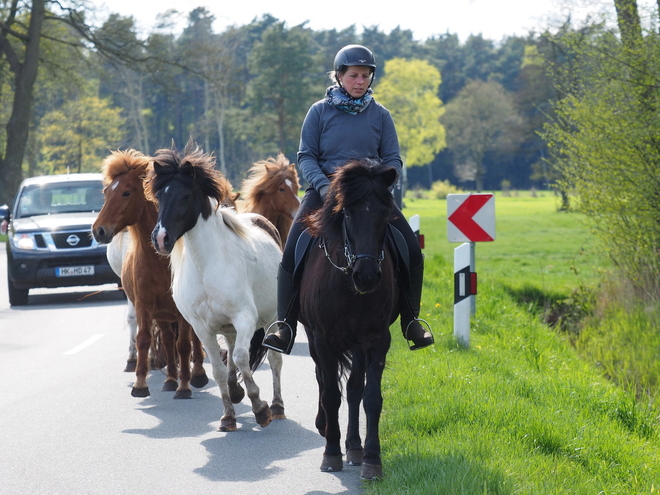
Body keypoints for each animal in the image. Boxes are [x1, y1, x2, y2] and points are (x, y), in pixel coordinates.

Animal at [93, 150, 209, 400]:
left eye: (126, 192)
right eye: (106, 192)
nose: (98, 230)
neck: (159, 263)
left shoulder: (181, 311)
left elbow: (184, 344)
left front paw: (184, 387)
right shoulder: (144, 306)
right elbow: (144, 339)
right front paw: (140, 384)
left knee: (192, 339)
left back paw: (196, 374)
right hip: (162, 315)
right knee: (166, 339)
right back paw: (170, 379)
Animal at [300, 159, 402, 480]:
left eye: (384, 214)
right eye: (346, 213)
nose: (366, 276)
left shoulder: (376, 340)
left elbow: (370, 396)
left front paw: (371, 458)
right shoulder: (323, 339)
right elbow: (331, 393)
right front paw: (331, 454)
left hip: (357, 344)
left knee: (355, 388)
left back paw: (354, 446)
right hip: (313, 338)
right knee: (322, 378)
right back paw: (325, 427)